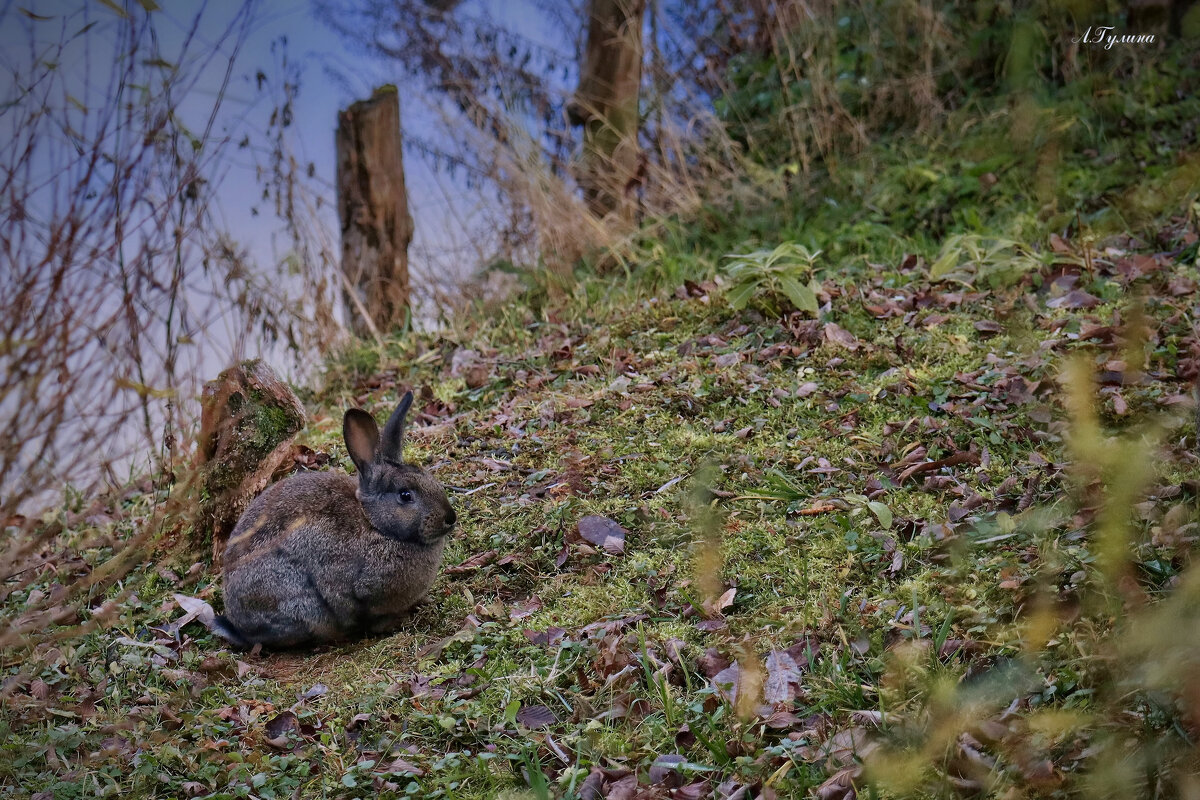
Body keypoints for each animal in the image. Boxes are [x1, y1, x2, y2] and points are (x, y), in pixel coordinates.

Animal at [211, 393, 453, 652]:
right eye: (405, 495)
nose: (450, 517)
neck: (376, 524)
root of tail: (240, 628)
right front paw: (394, 623)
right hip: (298, 602)